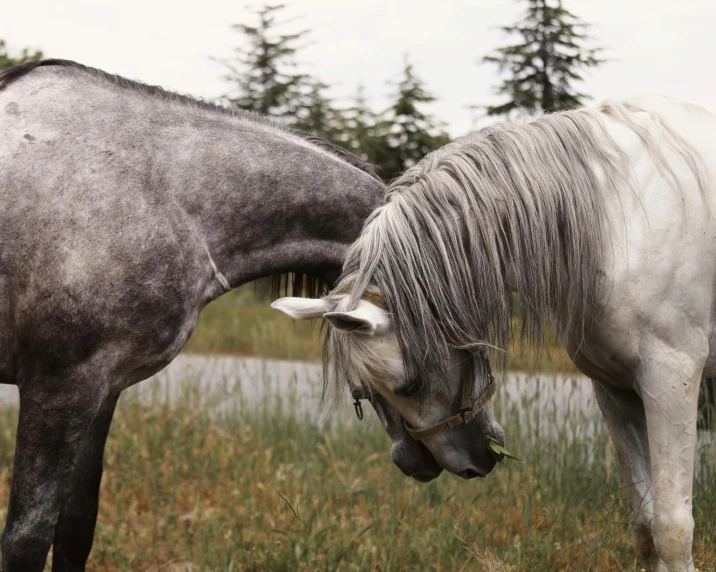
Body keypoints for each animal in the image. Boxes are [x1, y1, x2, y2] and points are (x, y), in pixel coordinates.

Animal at [272, 96, 712, 568]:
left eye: (410, 386)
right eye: (363, 394)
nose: (418, 466)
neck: (616, 220)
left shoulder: (670, 380)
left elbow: (672, 530)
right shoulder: (616, 390)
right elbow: (645, 527)